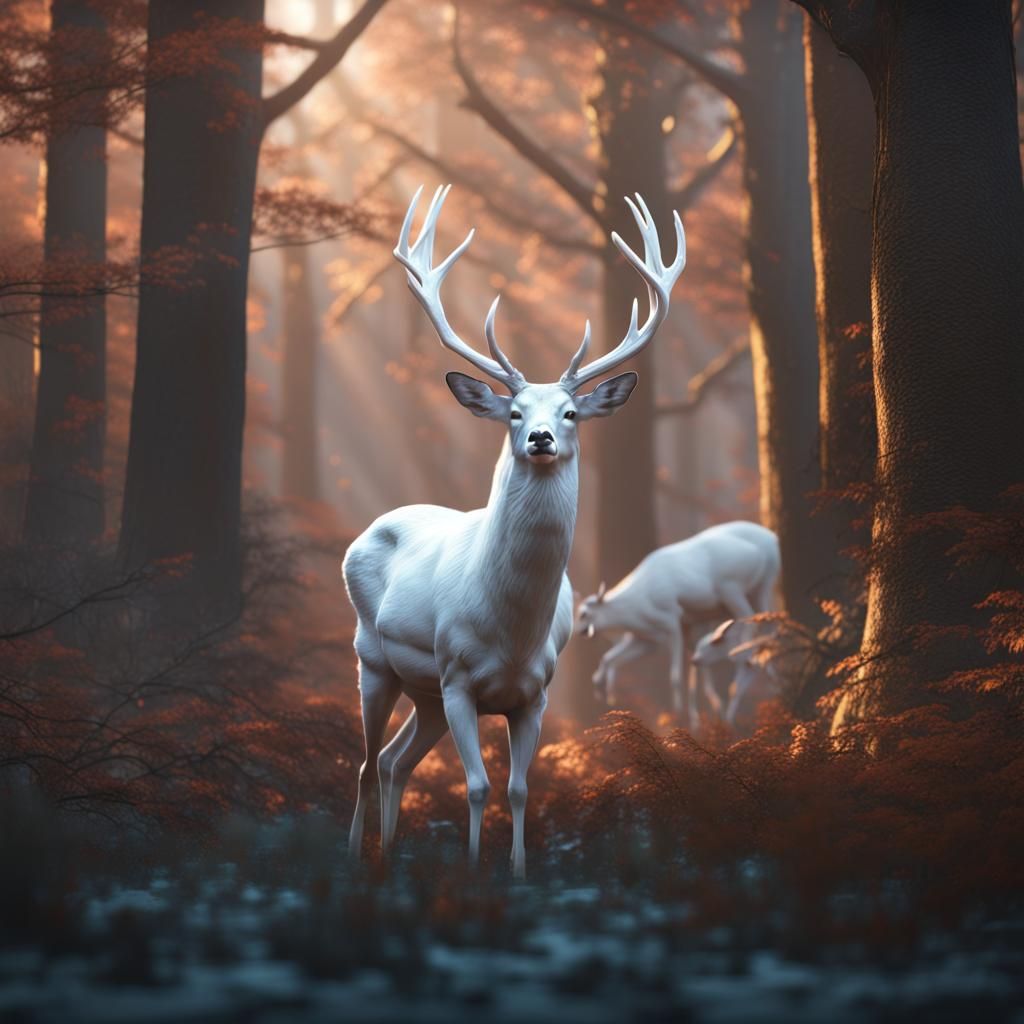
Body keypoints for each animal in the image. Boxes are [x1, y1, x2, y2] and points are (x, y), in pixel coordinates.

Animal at [343, 185, 686, 879]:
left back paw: (389, 856)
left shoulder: (535, 692)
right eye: (514, 412)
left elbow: (521, 787)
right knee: (365, 765)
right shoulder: (457, 676)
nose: (541, 437)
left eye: (572, 411)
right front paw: (477, 871)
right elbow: (476, 787)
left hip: (423, 694)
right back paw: (353, 860)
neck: (509, 630)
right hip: (375, 661)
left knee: (394, 762)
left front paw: (520, 873)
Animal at [575, 521, 779, 730]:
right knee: (766, 621)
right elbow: (608, 658)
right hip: (755, 589)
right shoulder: (648, 639)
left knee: (754, 619)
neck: (638, 602)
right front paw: (603, 694)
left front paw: (678, 715)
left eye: (584, 614)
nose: (579, 632)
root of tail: (770, 539)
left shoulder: (672, 622)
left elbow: (675, 675)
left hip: (736, 589)